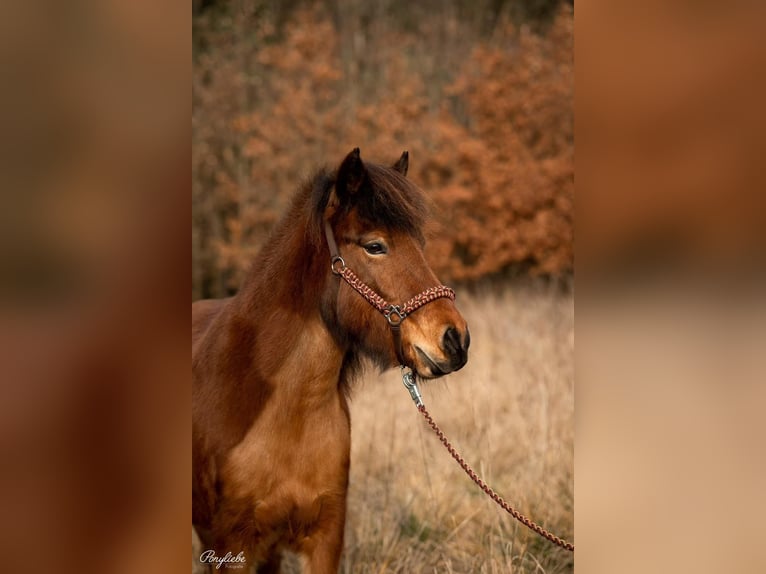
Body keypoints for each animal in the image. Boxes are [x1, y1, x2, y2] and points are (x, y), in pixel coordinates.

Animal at [194, 150, 468, 574]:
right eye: (375, 246)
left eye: (421, 243)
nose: (455, 339)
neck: (286, 414)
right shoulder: (231, 548)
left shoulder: (325, 538)